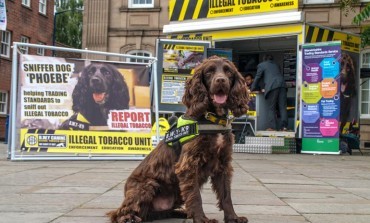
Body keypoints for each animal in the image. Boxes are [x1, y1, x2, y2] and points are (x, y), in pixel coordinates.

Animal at [108, 55, 250, 223]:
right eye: (209, 72)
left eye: (228, 72)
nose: (221, 80)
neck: (212, 118)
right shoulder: (188, 165)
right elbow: (195, 196)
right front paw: (202, 219)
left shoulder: (223, 163)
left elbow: (226, 195)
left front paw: (233, 218)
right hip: (147, 185)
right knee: (119, 212)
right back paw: (128, 218)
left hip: (175, 194)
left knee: (158, 212)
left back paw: (182, 212)